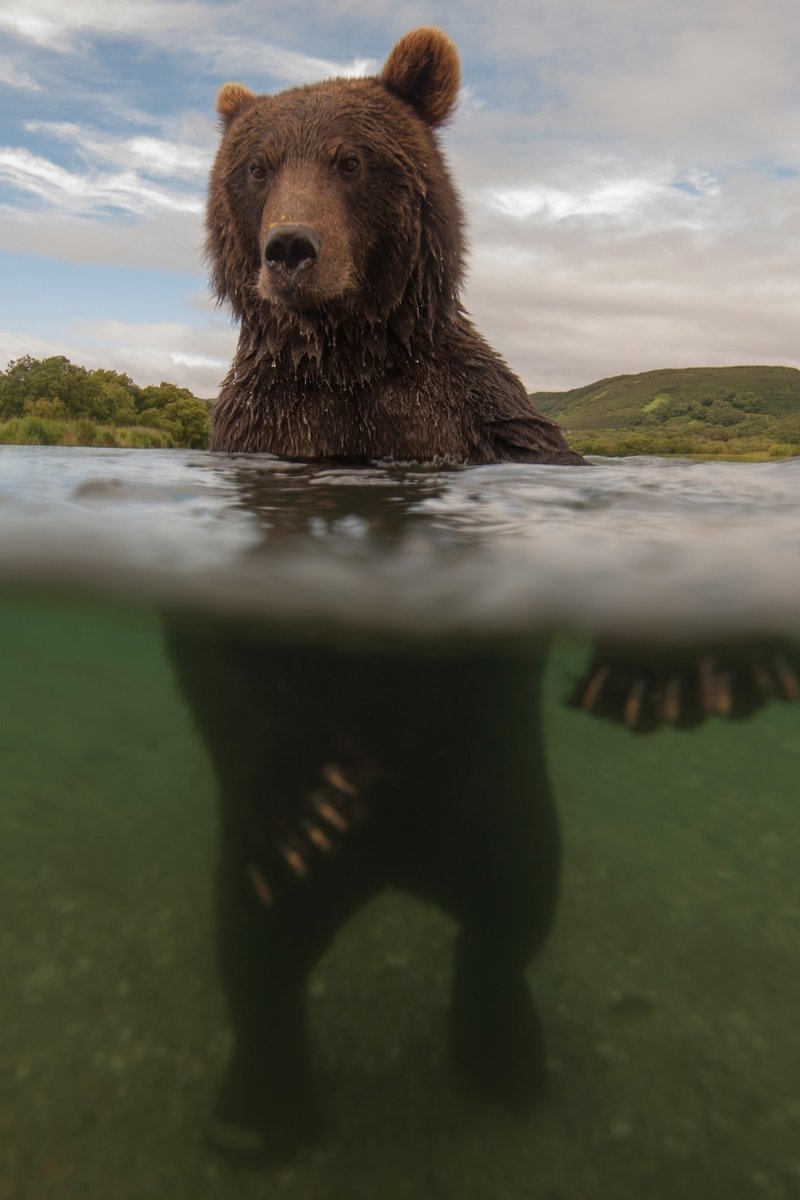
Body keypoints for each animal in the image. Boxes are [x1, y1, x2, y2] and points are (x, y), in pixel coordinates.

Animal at [170, 25, 582, 1161]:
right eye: (259, 166)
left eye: (351, 160)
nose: (290, 249)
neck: (349, 364)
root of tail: (395, 873)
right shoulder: (255, 439)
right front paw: (318, 786)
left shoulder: (476, 422)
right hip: (255, 873)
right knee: (257, 955)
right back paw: (256, 1112)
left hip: (499, 804)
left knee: (508, 915)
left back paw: (502, 1056)